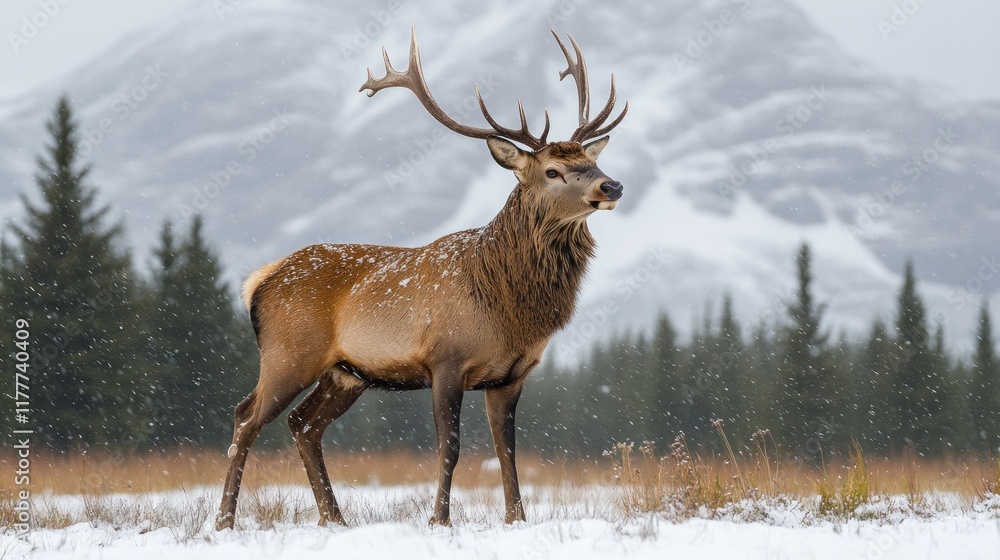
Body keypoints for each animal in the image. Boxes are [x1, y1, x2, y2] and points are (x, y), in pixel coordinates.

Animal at [215, 28, 626, 530]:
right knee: (245, 417)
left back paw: (335, 518)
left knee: (303, 424)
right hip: (288, 353)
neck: (510, 306)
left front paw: (516, 519)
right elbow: (449, 447)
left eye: (590, 160)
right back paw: (225, 521)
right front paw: (440, 520)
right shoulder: (445, 360)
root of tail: (260, 280)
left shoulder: (511, 375)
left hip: (345, 372)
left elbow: (506, 451)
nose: (612, 186)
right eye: (553, 170)